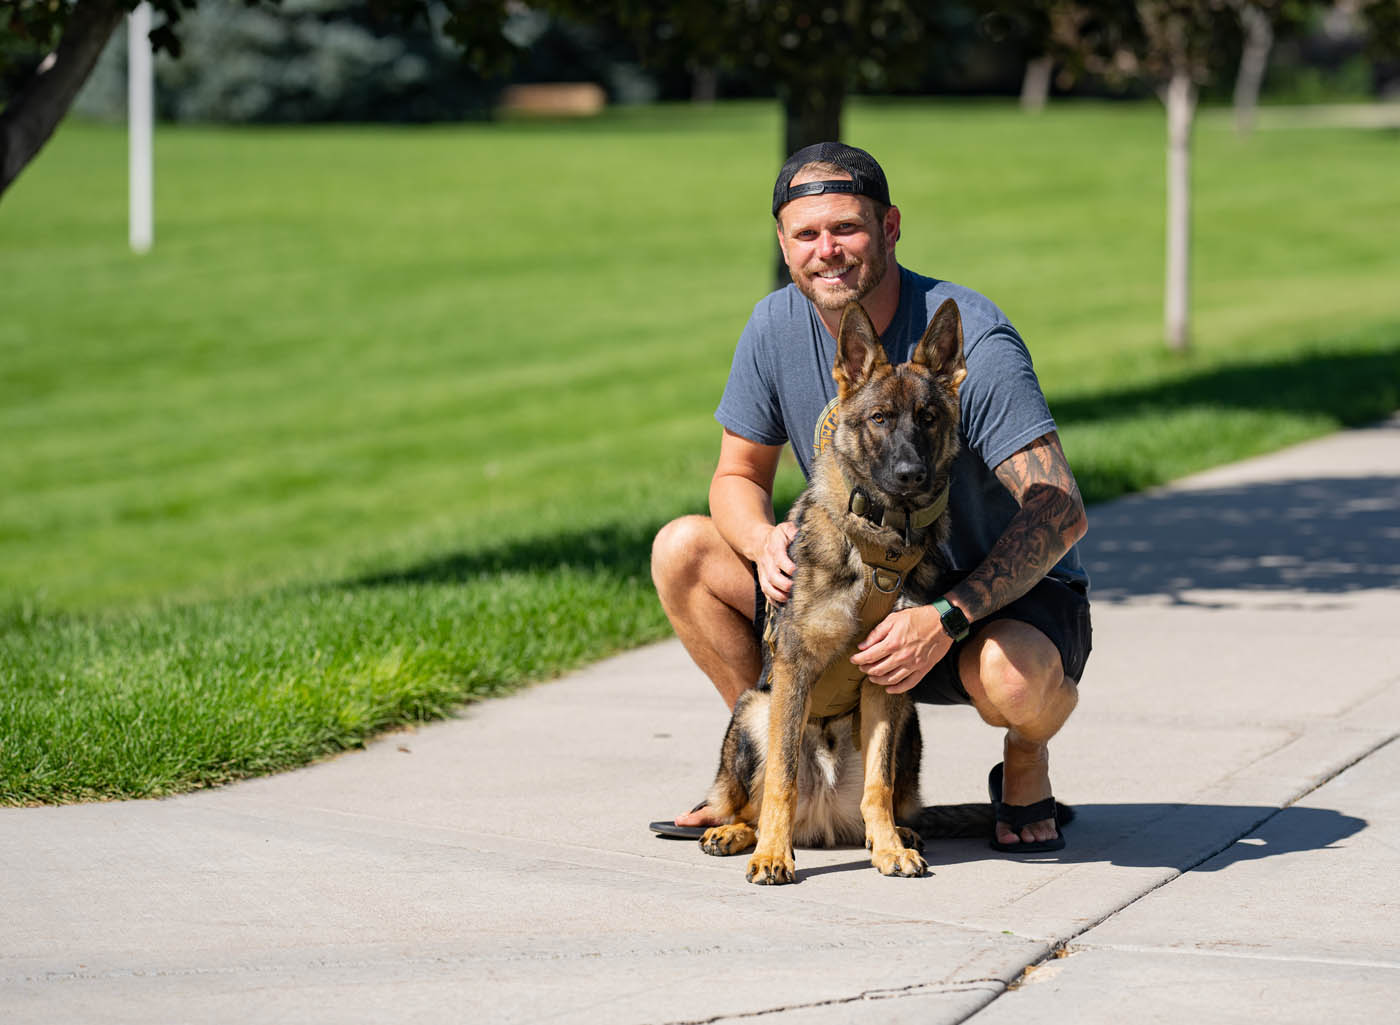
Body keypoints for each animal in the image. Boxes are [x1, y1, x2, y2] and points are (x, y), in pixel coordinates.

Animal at [697, 296, 963, 879]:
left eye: (928, 418)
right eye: (879, 418)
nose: (910, 474)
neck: (880, 541)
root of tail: (821, 824)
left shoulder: (888, 680)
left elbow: (878, 785)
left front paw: (888, 848)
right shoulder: (794, 670)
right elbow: (782, 779)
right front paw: (773, 856)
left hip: (908, 719)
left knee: (880, 793)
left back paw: (895, 833)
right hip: (754, 711)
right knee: (750, 804)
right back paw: (737, 834)